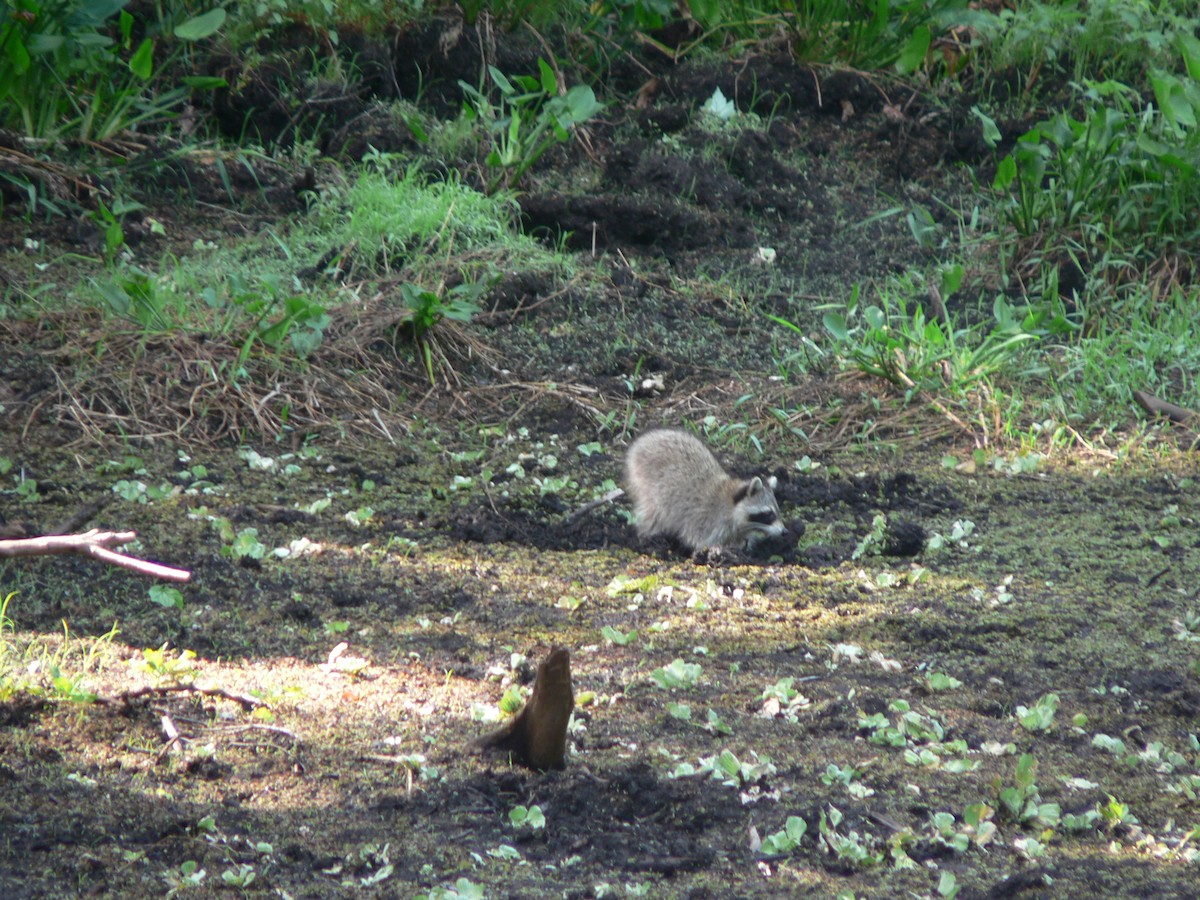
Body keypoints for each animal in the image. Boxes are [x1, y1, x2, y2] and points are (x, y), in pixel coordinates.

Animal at [624, 428, 785, 552]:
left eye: (777, 511)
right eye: (769, 514)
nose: (785, 531)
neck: (731, 504)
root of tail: (642, 441)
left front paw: (742, 544)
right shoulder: (706, 521)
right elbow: (701, 541)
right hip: (645, 483)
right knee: (652, 514)